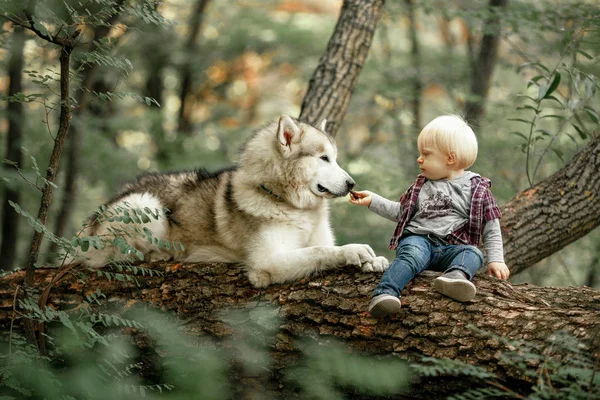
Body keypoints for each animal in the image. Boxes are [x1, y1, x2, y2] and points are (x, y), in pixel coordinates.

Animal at [74, 115, 390, 288]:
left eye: (334, 158)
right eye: (324, 158)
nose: (352, 184)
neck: (286, 202)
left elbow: (326, 246)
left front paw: (375, 261)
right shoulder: (266, 263)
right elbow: (321, 251)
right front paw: (353, 251)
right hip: (145, 206)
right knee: (117, 258)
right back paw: (160, 255)